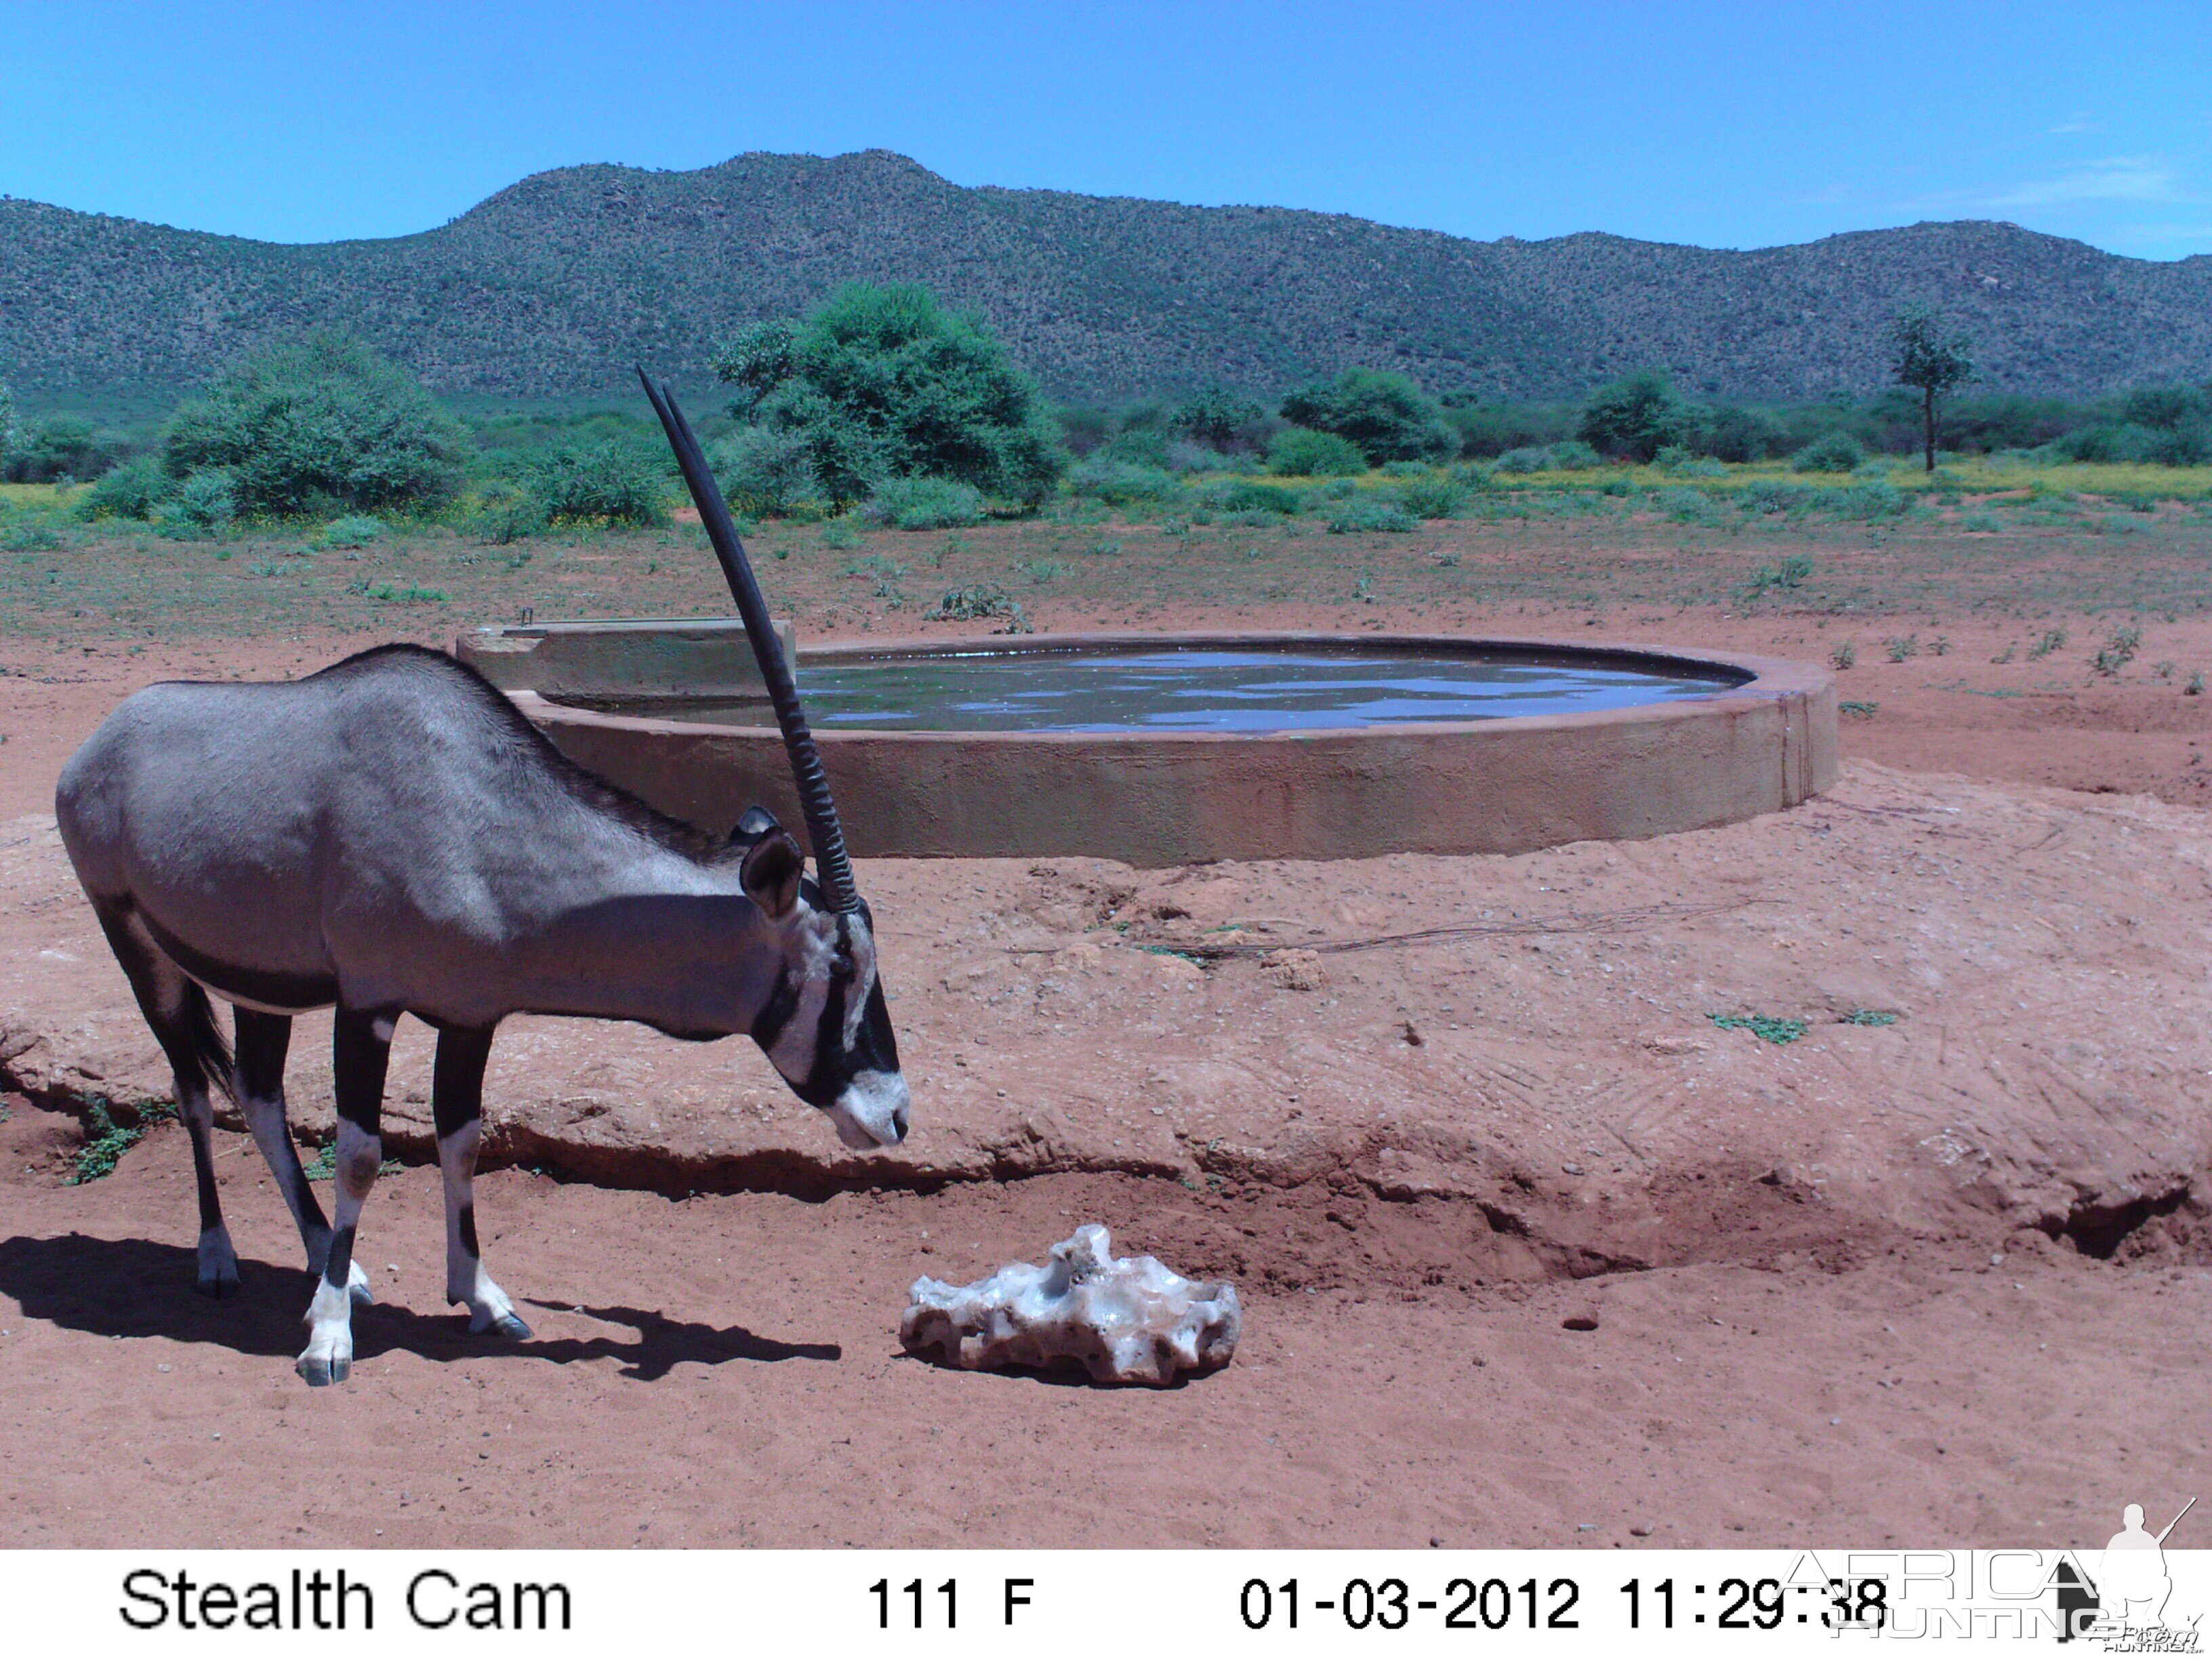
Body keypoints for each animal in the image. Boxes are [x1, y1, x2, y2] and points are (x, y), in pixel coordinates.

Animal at [58, 380, 907, 1389]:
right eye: (841, 969)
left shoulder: (471, 1016)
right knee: (192, 1085)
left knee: (258, 1095)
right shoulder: (370, 1004)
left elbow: (461, 1137)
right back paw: (222, 1260)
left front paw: (481, 1298)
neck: (485, 818)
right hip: (135, 945)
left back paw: (325, 1264)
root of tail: (103, 738)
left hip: (260, 983)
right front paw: (328, 1341)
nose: (895, 1118)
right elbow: (362, 1152)